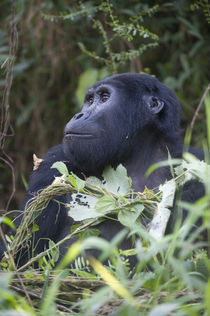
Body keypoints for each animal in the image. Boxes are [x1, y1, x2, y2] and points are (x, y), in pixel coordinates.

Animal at [0, 73, 204, 266]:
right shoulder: (53, 165)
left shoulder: (197, 164)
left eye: (105, 98)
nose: (79, 115)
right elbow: (16, 258)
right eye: (89, 100)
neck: (135, 156)